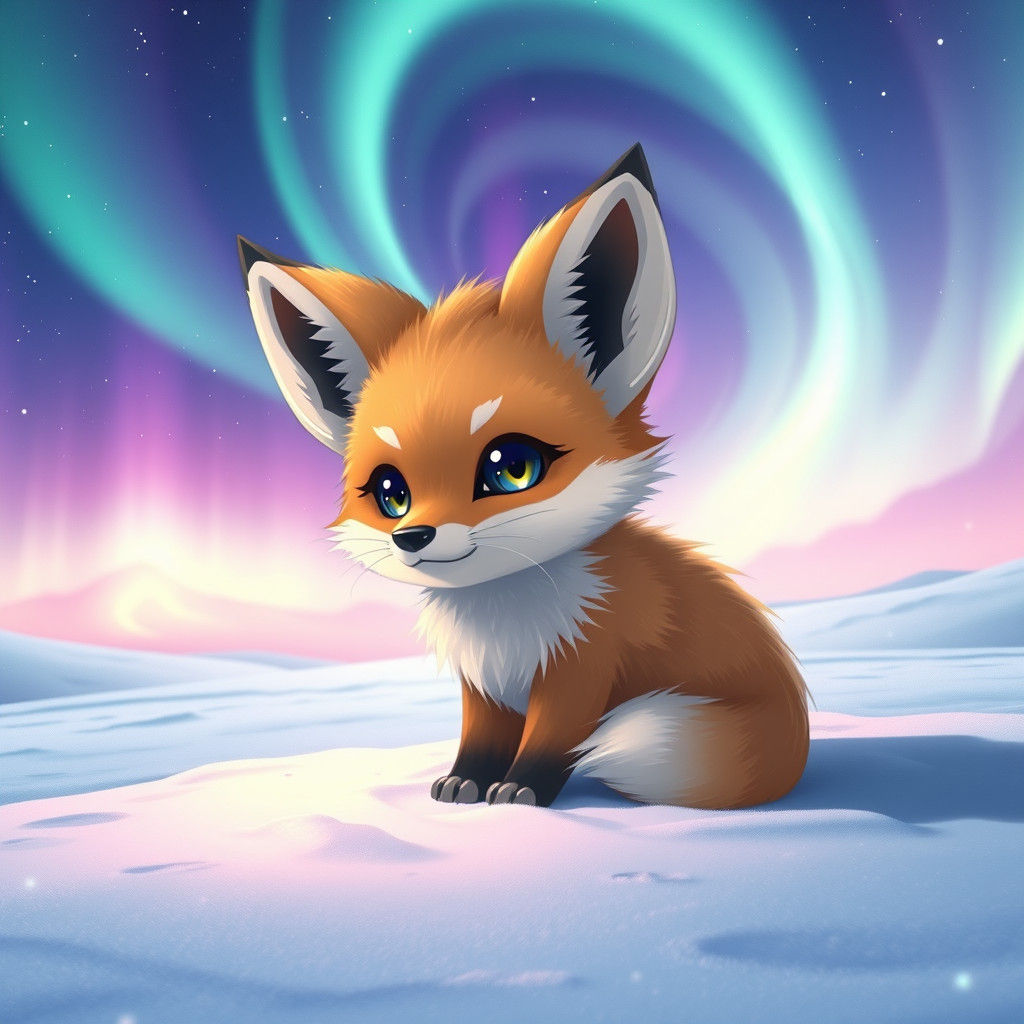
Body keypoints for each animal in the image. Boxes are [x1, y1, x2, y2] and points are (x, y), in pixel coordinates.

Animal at [237, 143, 809, 809]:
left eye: (512, 467)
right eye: (391, 493)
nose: (413, 536)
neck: (505, 618)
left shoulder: (582, 667)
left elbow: (551, 742)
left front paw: (520, 791)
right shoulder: (480, 682)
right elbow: (477, 741)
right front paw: (463, 783)